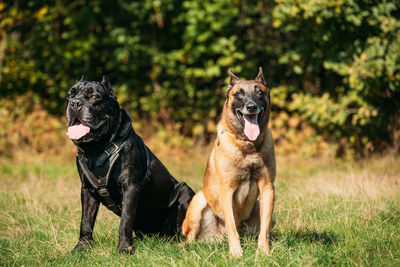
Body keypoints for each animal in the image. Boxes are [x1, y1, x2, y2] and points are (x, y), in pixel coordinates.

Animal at [65, 77, 195, 255]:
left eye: (94, 97)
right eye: (70, 95)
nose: (75, 103)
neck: (97, 149)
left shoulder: (130, 186)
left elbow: (125, 221)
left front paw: (124, 249)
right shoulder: (87, 190)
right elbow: (86, 221)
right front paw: (81, 247)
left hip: (185, 191)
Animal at [183, 68, 276, 258]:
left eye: (259, 92)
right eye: (239, 94)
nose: (251, 107)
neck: (248, 146)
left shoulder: (268, 188)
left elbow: (264, 229)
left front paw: (263, 252)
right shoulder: (227, 190)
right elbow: (232, 226)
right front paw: (236, 253)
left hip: (257, 206)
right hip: (199, 200)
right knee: (189, 238)